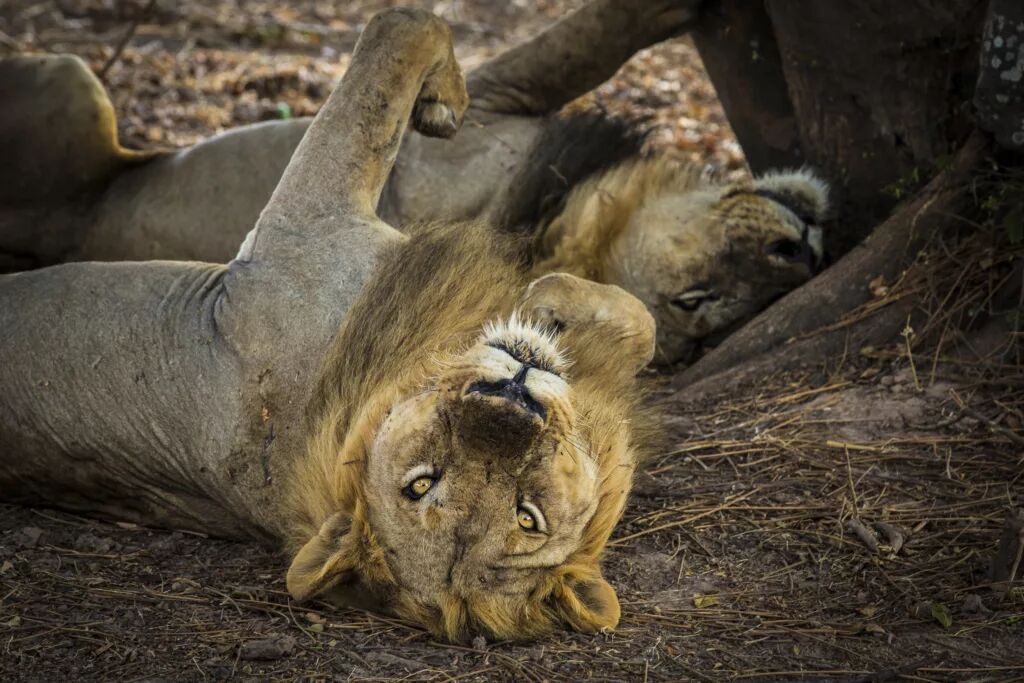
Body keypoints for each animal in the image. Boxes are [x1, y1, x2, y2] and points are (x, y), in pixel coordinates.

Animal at [0, 0, 829, 364]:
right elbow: (597, 32)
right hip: (75, 77)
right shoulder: (497, 95)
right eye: (696, 293)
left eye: (710, 313)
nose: (803, 256)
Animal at [0, 7, 656, 641]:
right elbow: (404, 30)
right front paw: (550, 297)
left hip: (71, 83)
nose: (514, 401)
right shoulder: (307, 216)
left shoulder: (302, 221)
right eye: (422, 484)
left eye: (526, 514)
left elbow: (401, 33)